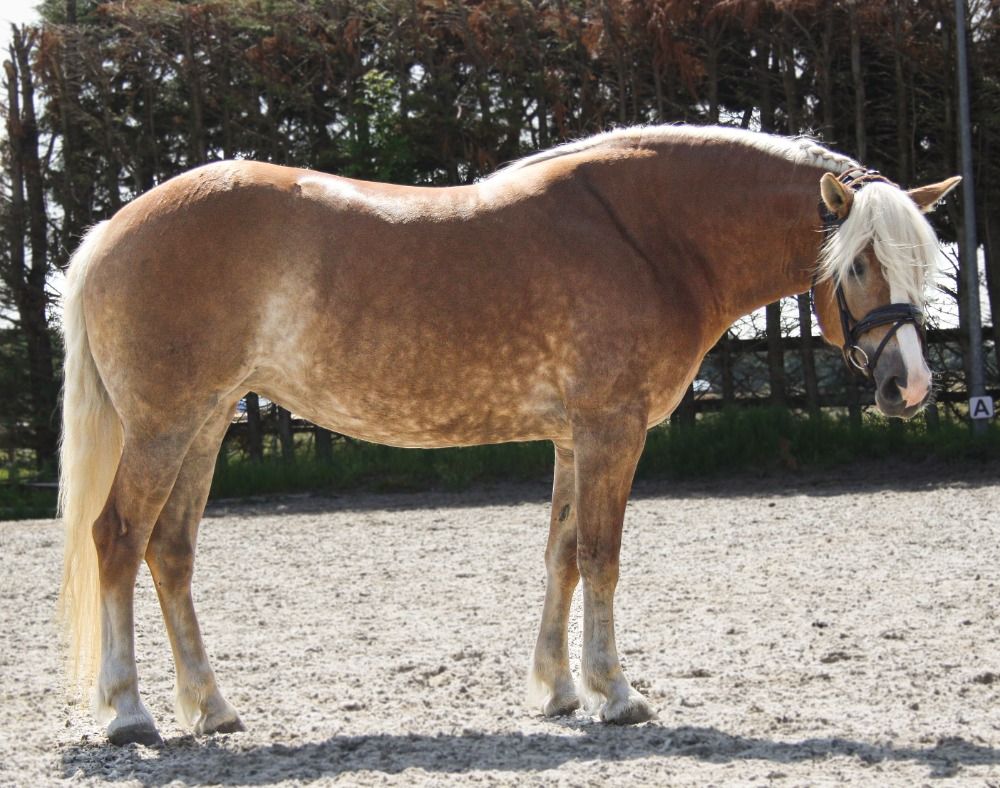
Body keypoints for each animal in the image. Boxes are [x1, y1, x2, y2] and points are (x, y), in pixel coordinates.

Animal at [58, 124, 959, 745]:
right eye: (856, 263)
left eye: (922, 263)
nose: (910, 385)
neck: (648, 236)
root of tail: (110, 232)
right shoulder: (610, 430)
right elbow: (602, 555)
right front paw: (615, 694)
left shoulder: (571, 438)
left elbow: (561, 555)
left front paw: (557, 691)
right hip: (165, 427)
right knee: (117, 539)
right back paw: (130, 713)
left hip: (206, 423)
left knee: (170, 552)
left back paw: (211, 707)